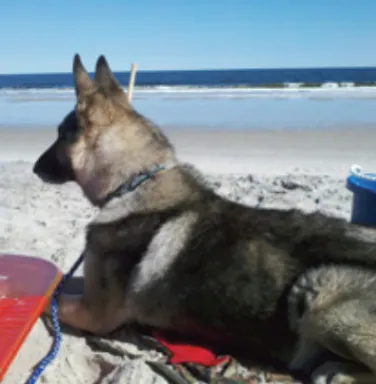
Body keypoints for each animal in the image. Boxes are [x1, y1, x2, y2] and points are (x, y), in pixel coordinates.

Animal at [33, 54, 376, 384]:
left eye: (60, 136)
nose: (35, 168)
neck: (134, 182)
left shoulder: (94, 313)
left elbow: (48, 300)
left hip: (322, 288)